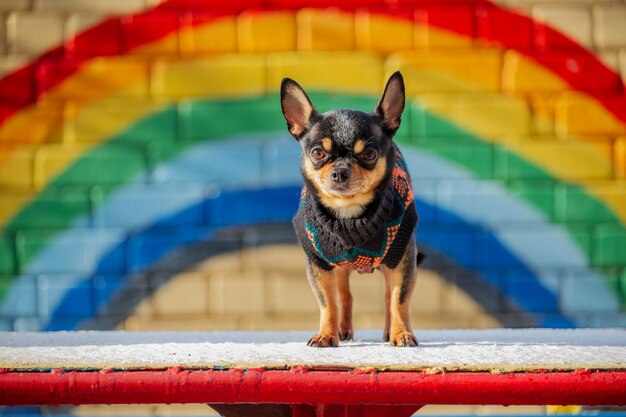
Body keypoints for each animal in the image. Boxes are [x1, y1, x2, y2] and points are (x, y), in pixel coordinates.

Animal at [280, 72, 422, 348]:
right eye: (317, 153)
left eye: (368, 154)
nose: (340, 171)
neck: (349, 214)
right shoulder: (319, 266)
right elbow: (328, 304)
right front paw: (326, 334)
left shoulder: (403, 259)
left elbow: (399, 300)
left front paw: (402, 333)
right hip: (340, 270)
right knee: (344, 296)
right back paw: (342, 330)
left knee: (387, 295)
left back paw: (389, 331)